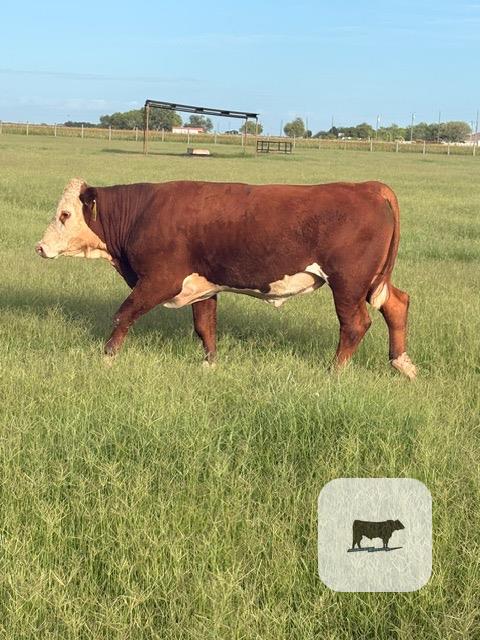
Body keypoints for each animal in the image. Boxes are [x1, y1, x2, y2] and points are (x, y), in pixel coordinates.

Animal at [35, 178, 417, 378]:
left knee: (355, 324)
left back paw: (333, 371)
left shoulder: (159, 280)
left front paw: (106, 358)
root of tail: (368, 186)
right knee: (397, 303)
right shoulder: (202, 287)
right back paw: (403, 365)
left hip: (348, 282)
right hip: (371, 281)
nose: (40, 246)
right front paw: (210, 365)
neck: (143, 213)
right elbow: (205, 327)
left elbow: (123, 314)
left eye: (65, 214)